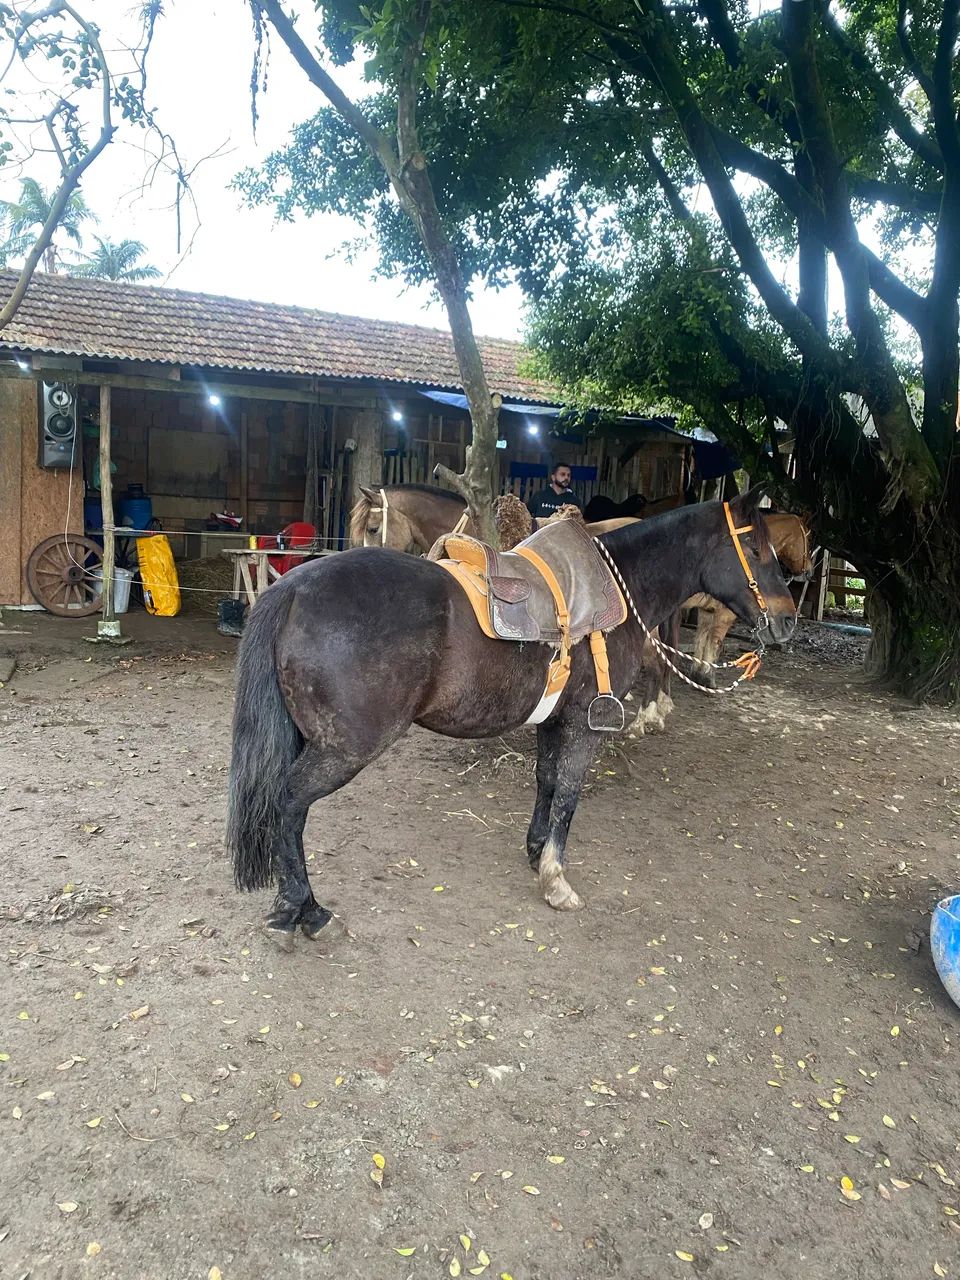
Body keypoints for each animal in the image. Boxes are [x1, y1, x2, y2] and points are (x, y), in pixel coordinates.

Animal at [226, 489, 797, 947]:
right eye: (759, 551)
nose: (787, 619)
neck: (621, 585)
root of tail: (292, 589)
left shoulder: (553, 719)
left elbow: (546, 781)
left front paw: (535, 849)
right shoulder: (586, 725)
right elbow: (568, 793)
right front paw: (555, 878)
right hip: (344, 749)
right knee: (289, 802)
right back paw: (306, 912)